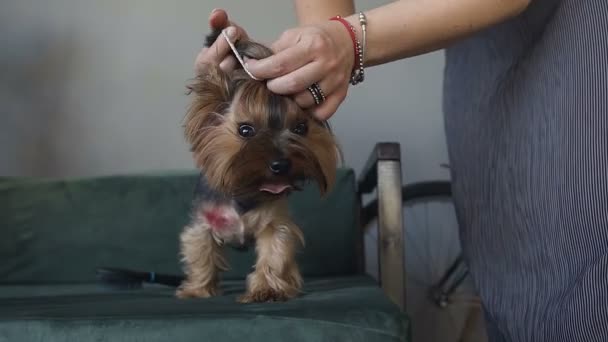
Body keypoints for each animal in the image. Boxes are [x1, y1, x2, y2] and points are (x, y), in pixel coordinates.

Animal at [173, 29, 340, 302]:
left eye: (300, 128)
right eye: (245, 130)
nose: (281, 164)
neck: (246, 189)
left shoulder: (274, 224)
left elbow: (274, 253)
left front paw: (267, 290)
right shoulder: (203, 222)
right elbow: (201, 253)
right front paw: (198, 290)